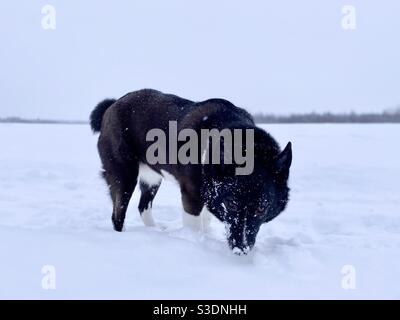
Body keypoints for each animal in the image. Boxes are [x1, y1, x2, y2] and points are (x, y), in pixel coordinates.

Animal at [90, 89, 290, 254]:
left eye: (262, 208)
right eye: (232, 203)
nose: (241, 250)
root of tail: (112, 105)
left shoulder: (210, 192)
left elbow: (206, 219)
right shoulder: (191, 195)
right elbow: (194, 225)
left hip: (152, 178)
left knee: (142, 206)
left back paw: (153, 231)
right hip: (125, 176)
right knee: (117, 215)